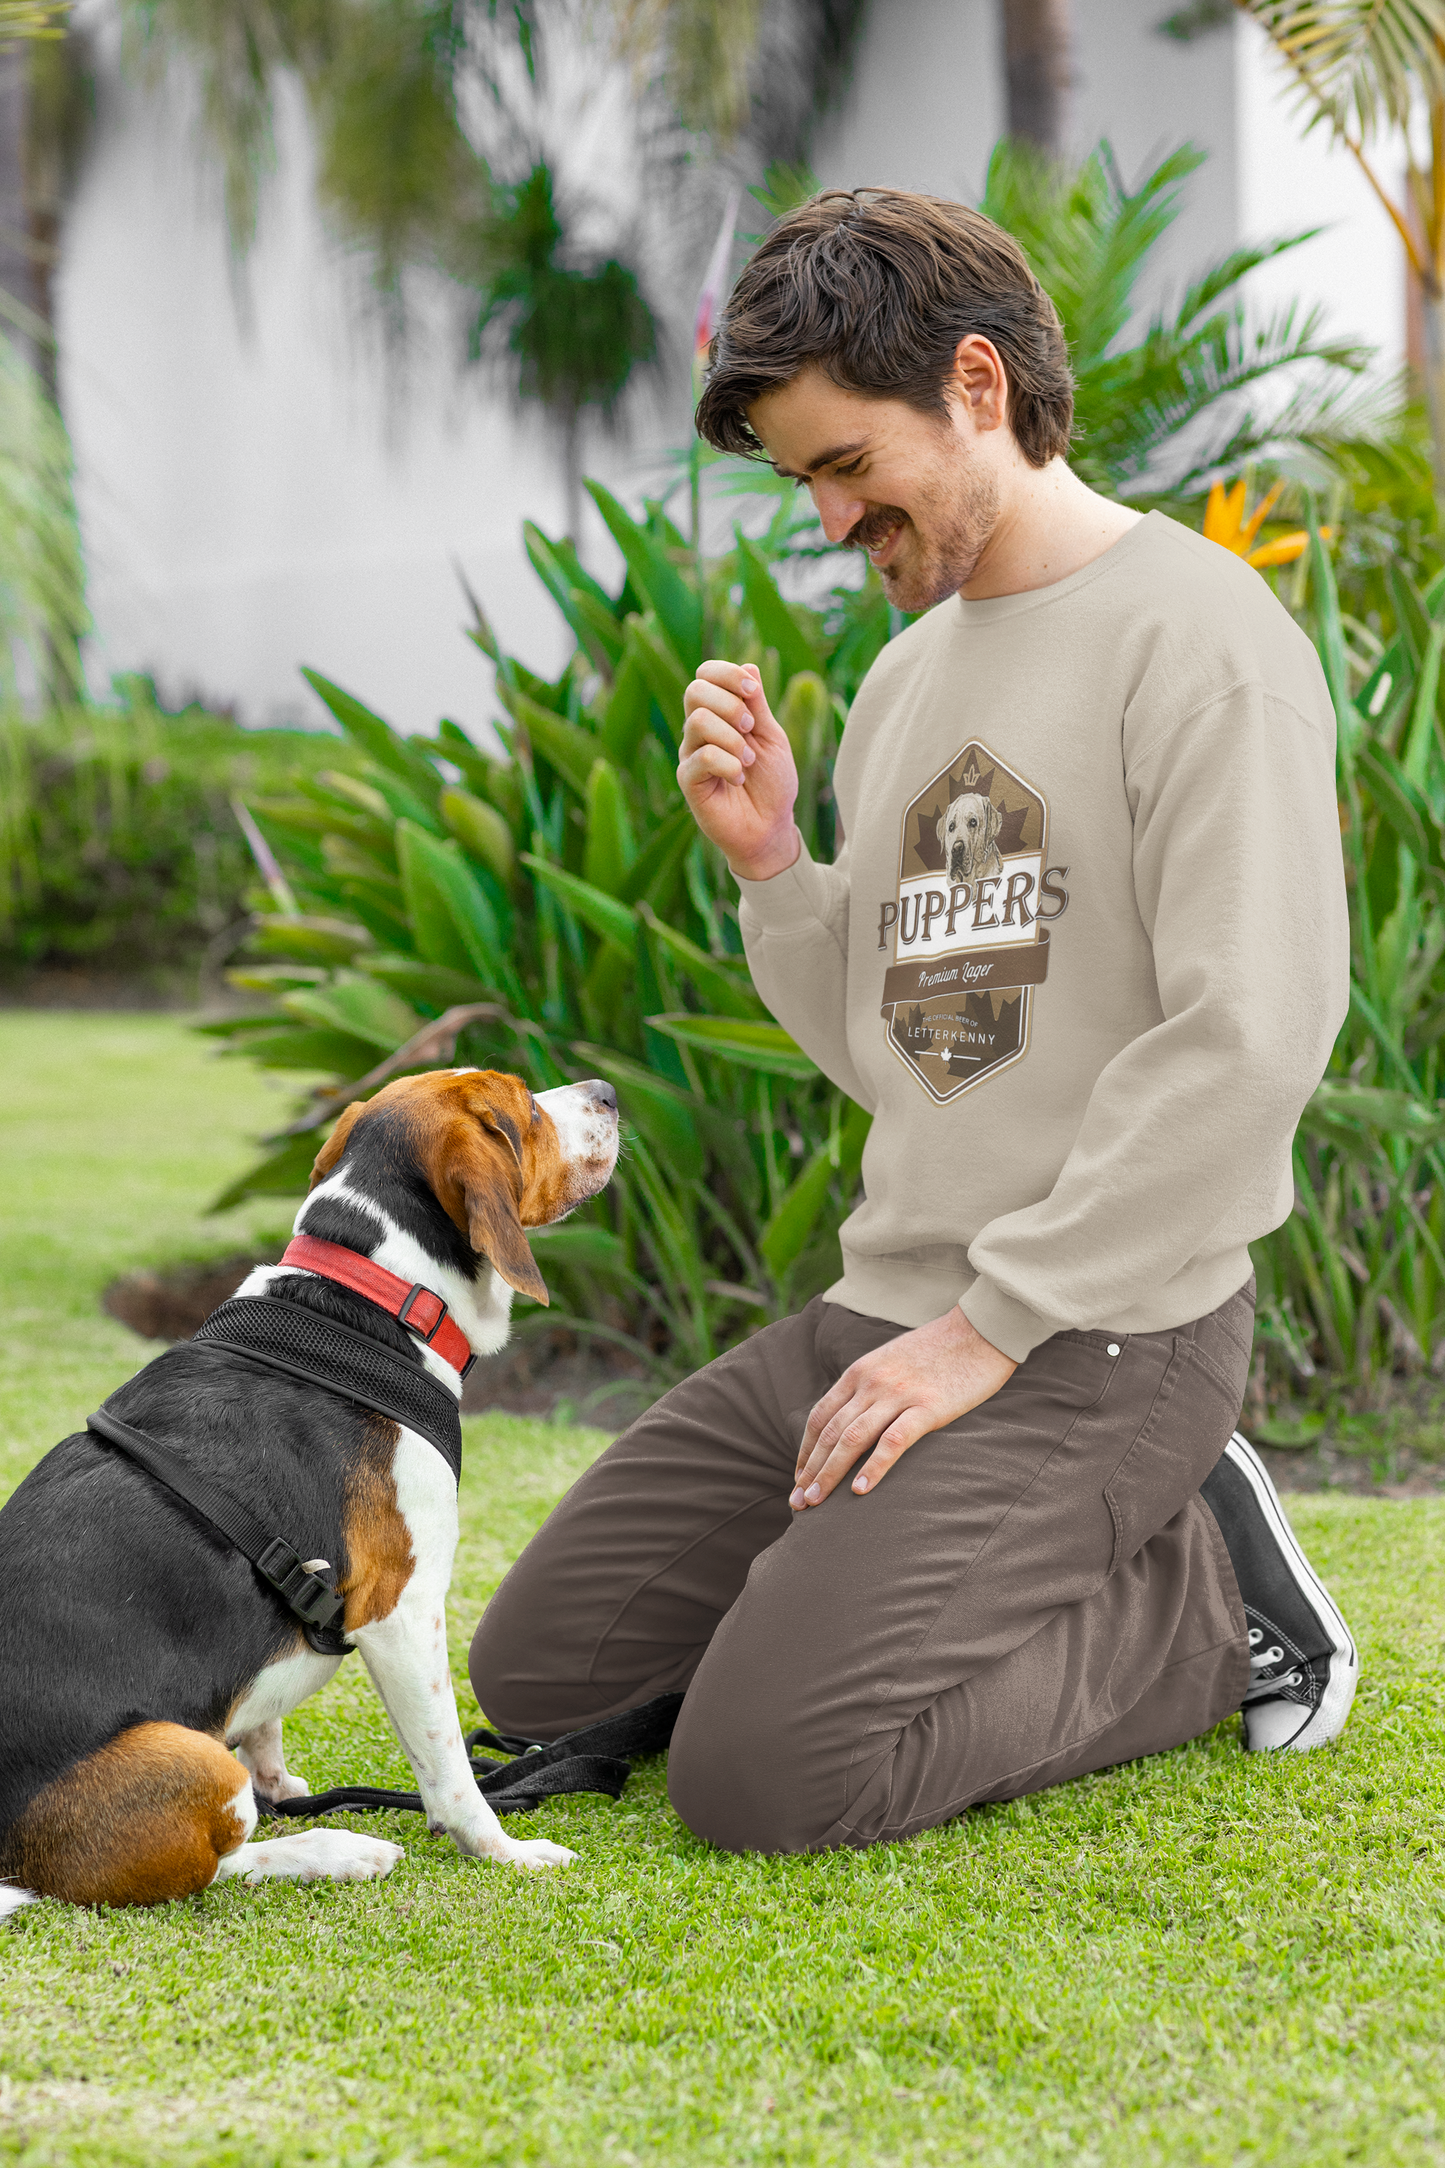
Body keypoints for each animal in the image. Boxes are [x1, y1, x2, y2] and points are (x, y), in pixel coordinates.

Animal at [0, 1070, 615, 1916]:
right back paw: (333, 1850)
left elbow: (263, 1728)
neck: (374, 1297)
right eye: (523, 1106)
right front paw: (503, 1850)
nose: (609, 1090)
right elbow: (450, 1773)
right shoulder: (402, 1614)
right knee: (205, 1867)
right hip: (188, 1757)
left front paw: (284, 1785)